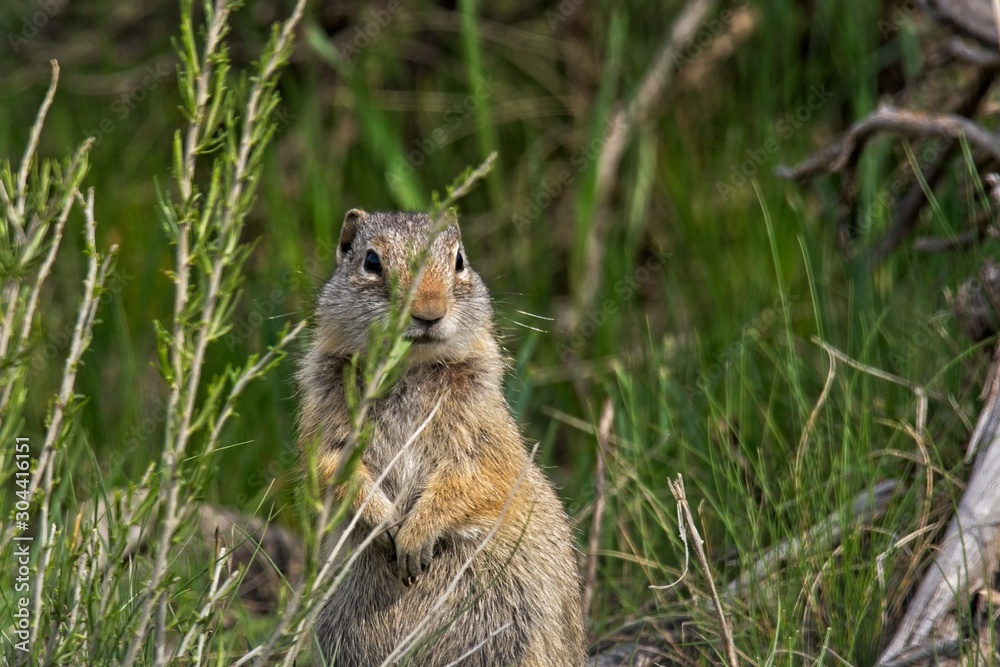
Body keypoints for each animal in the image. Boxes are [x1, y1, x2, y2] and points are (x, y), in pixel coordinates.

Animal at [297, 209, 587, 666]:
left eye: (459, 260)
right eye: (371, 261)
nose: (428, 312)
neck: (409, 368)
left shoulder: (482, 436)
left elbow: (470, 481)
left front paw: (413, 538)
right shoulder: (325, 425)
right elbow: (332, 470)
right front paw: (385, 524)